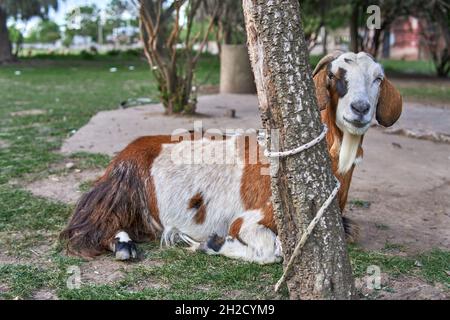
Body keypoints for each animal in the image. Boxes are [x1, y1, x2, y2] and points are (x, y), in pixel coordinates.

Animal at [59, 51, 400, 264]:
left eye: (378, 79)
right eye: (334, 76)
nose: (359, 108)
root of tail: (128, 150)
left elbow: (350, 231)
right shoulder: (251, 218)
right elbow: (270, 250)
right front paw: (214, 243)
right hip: (119, 189)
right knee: (88, 225)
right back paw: (122, 245)